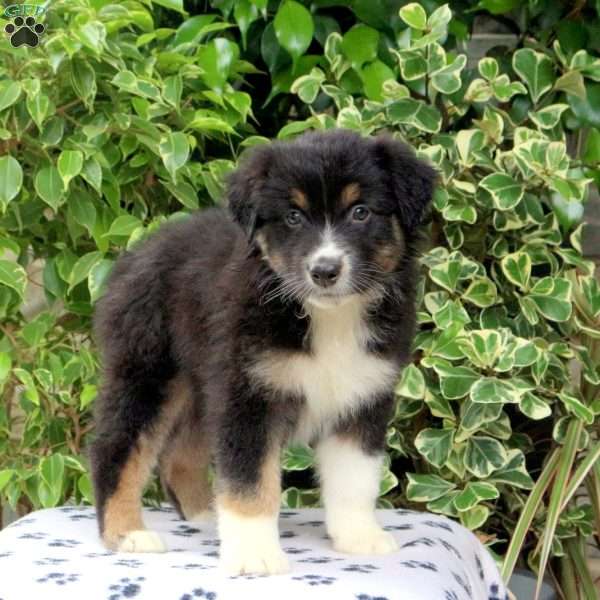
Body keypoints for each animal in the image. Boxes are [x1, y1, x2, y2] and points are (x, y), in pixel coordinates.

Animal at [90, 130, 436, 576]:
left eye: (360, 212)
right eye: (293, 217)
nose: (324, 271)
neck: (327, 318)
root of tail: (133, 254)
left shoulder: (363, 396)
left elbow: (354, 478)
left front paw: (360, 536)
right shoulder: (249, 396)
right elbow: (251, 481)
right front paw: (254, 553)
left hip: (204, 382)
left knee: (179, 454)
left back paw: (205, 515)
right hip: (148, 372)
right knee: (116, 446)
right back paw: (127, 533)